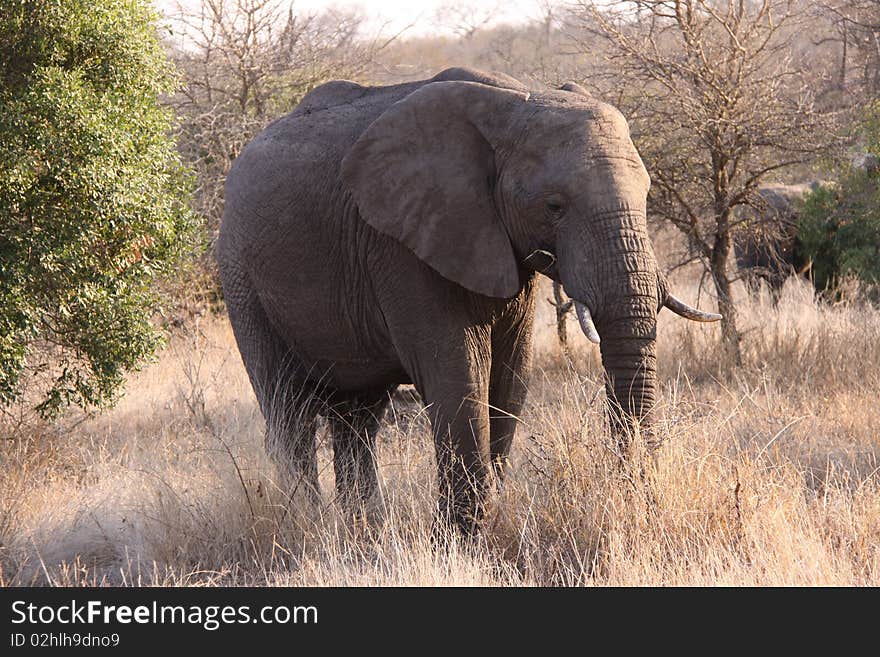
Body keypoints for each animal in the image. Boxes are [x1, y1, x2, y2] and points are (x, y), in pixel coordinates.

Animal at [217, 69, 720, 536]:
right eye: (554, 206)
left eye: (647, 194)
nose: (639, 509)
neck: (514, 101)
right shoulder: (404, 244)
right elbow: (458, 377)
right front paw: (464, 539)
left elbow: (510, 378)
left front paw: (482, 524)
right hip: (241, 276)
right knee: (289, 412)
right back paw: (303, 526)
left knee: (358, 418)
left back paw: (365, 529)